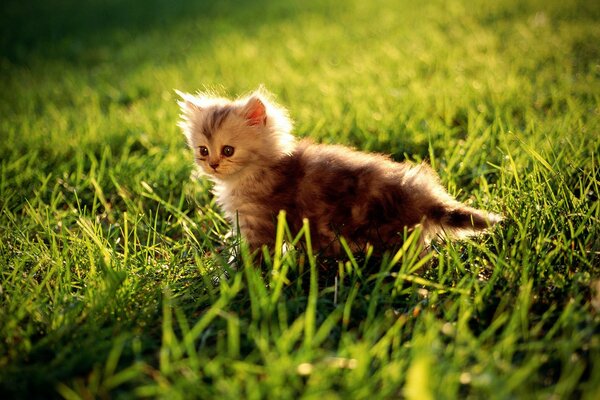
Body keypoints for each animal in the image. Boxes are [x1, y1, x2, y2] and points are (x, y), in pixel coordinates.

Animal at [177, 88, 502, 256]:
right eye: (203, 150)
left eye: (228, 150)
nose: (212, 164)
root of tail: (423, 196)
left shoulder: (260, 225)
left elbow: (251, 257)